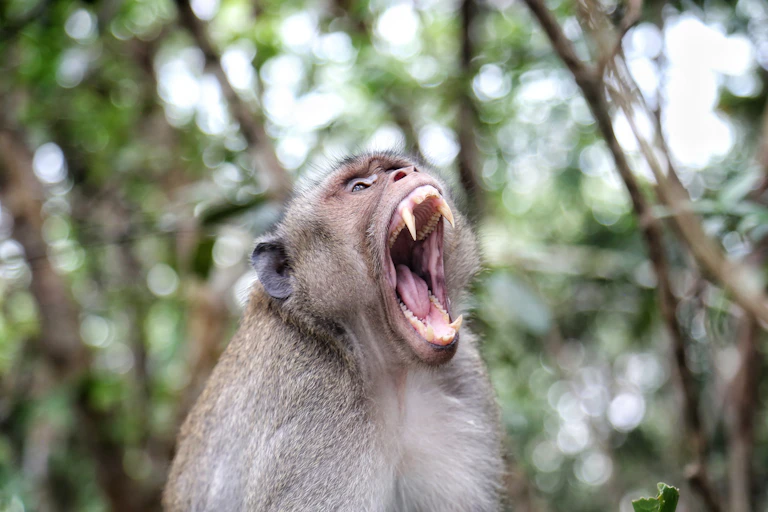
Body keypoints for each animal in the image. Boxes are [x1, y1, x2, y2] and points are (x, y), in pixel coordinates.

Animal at [163, 152, 505, 511]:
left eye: (401, 167)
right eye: (359, 187)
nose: (406, 172)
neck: (390, 371)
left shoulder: (465, 378)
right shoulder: (313, 399)